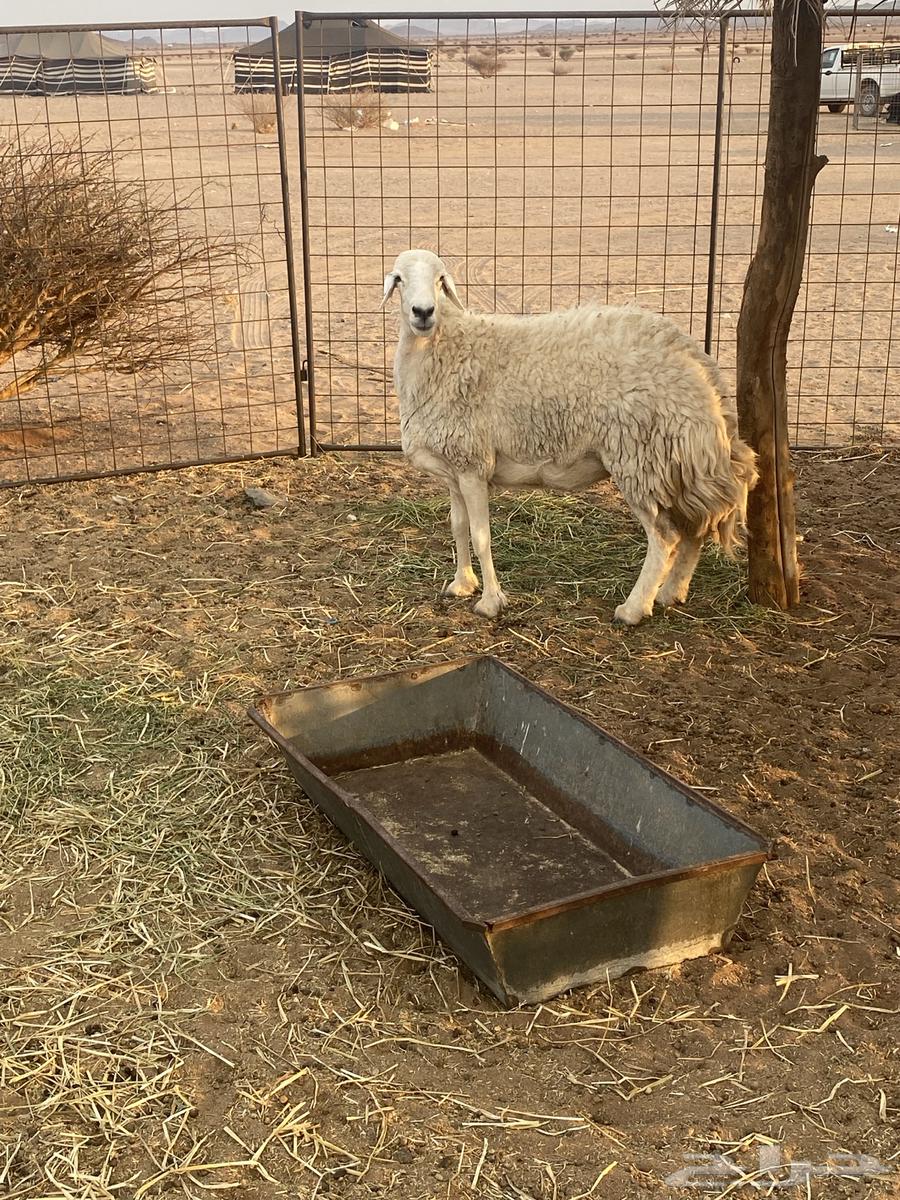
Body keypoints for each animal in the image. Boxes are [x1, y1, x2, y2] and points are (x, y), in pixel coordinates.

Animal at [382, 248, 758, 625]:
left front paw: (490, 602)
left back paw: (634, 608)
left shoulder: (474, 463)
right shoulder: (455, 466)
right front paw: (462, 584)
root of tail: (699, 363)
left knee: (665, 537)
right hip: (680, 464)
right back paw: (671, 592)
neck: (444, 349)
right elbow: (458, 526)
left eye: (440, 280)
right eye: (399, 278)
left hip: (643, 457)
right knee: (697, 527)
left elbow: (481, 535)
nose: (423, 312)